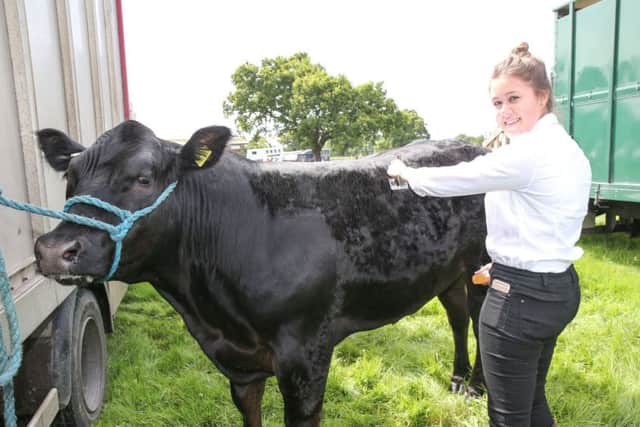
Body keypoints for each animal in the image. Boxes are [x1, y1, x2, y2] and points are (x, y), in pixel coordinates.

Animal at [34, 120, 488, 426]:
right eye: (70, 177)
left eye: (143, 178)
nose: (56, 250)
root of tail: (469, 146)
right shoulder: (240, 365)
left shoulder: (306, 356)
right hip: (448, 271)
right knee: (457, 317)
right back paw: (456, 377)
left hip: (482, 266)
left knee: (479, 321)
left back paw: (476, 386)